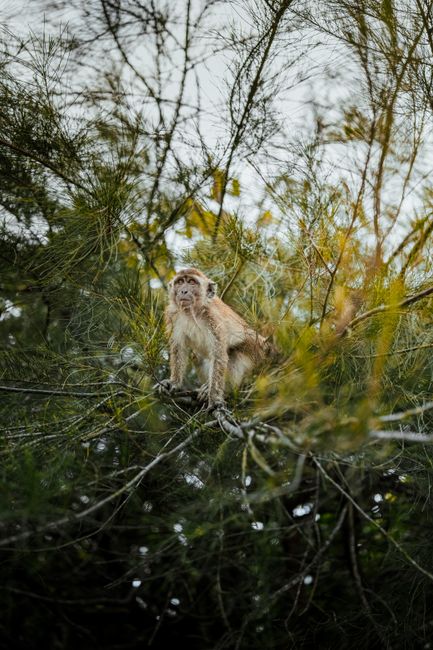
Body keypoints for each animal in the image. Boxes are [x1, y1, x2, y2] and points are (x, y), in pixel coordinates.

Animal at [158, 268, 269, 409]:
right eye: (180, 282)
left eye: (192, 282)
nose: (183, 291)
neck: (191, 312)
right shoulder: (173, 315)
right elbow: (179, 348)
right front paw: (174, 382)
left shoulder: (213, 319)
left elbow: (219, 355)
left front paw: (215, 399)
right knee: (196, 355)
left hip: (255, 350)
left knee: (235, 354)